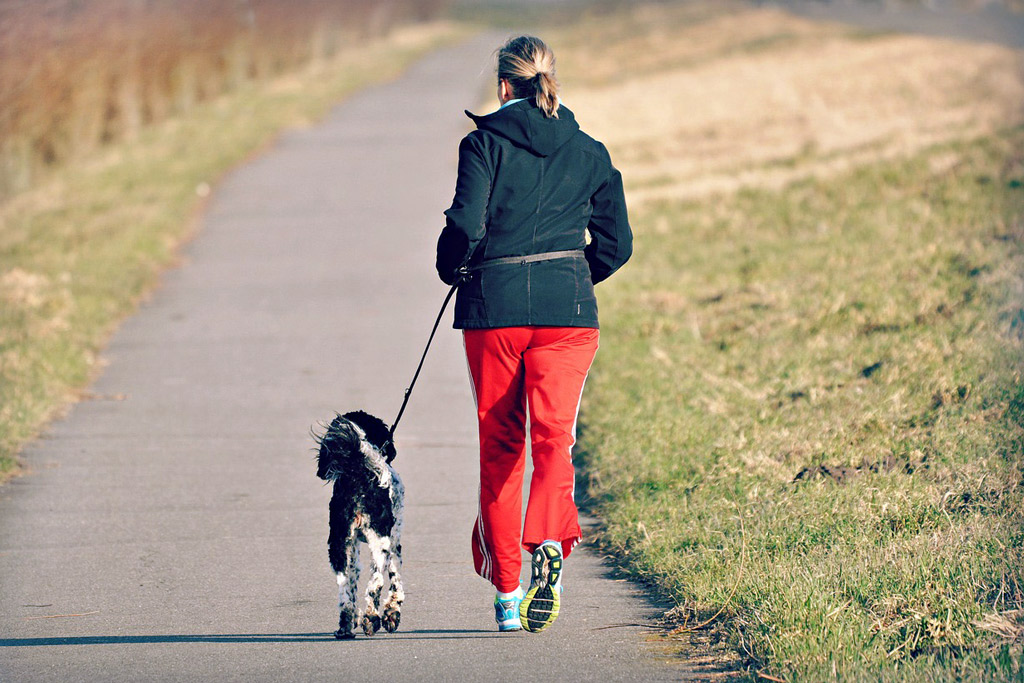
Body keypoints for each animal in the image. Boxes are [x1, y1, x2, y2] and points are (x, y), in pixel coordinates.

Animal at [315, 411, 403, 643]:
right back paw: (371, 619)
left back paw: (345, 626)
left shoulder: (352, 546)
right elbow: (395, 579)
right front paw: (392, 613)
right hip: (380, 542)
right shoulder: (394, 541)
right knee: (376, 582)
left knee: (344, 590)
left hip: (338, 545)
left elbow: (352, 584)